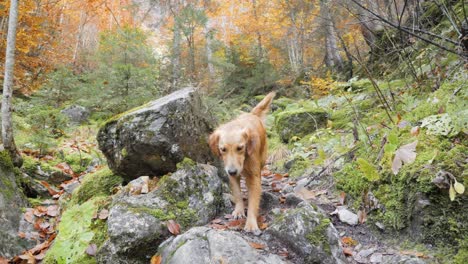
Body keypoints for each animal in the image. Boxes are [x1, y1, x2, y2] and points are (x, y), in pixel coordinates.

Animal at [207, 92, 274, 232]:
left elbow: (253, 200)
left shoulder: (253, 176)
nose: (233, 171)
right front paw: (239, 210)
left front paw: (251, 223)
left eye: (240, 148)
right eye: (223, 149)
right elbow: (237, 193)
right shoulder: (231, 175)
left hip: (262, 160)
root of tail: (252, 114)